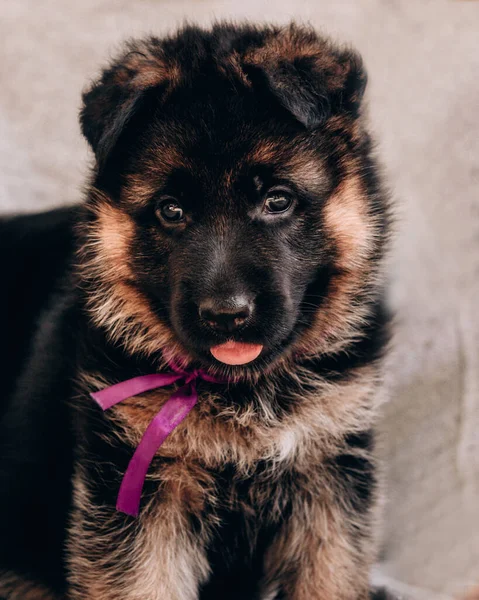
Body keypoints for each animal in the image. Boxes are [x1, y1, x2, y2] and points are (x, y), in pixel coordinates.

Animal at [0, 21, 390, 596]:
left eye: (277, 199)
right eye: (171, 210)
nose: (226, 315)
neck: (242, 391)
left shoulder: (327, 479)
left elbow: (329, 577)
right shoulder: (141, 496)